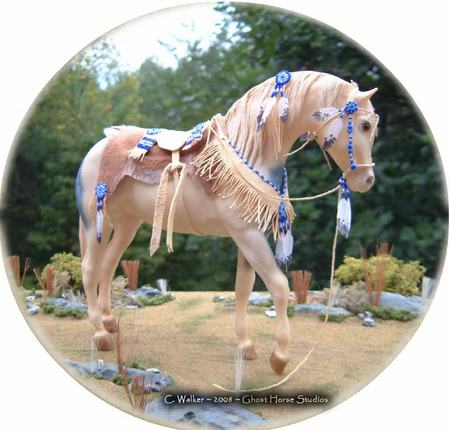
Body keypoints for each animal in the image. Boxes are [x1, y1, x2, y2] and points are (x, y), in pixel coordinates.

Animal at [75, 70, 378, 372]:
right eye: (364, 125)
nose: (366, 180)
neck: (251, 151)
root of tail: (98, 147)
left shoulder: (250, 235)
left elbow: (243, 288)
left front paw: (246, 346)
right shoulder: (247, 234)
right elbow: (279, 285)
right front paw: (280, 357)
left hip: (127, 224)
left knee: (108, 264)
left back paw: (109, 322)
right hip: (96, 223)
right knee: (90, 268)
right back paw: (101, 334)